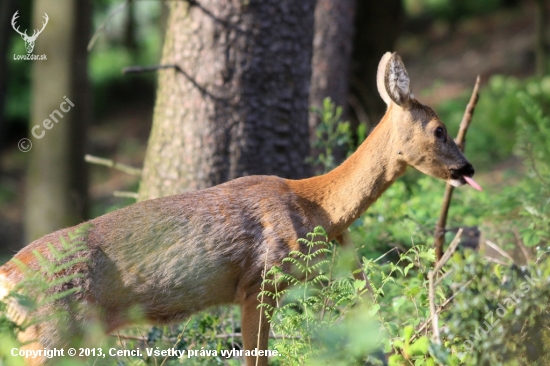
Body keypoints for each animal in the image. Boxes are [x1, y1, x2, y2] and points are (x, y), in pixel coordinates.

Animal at [0, 52, 480, 366]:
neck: (317, 208)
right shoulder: (259, 281)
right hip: (50, 331)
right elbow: (256, 359)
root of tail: (8, 274)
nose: (468, 168)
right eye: (440, 130)